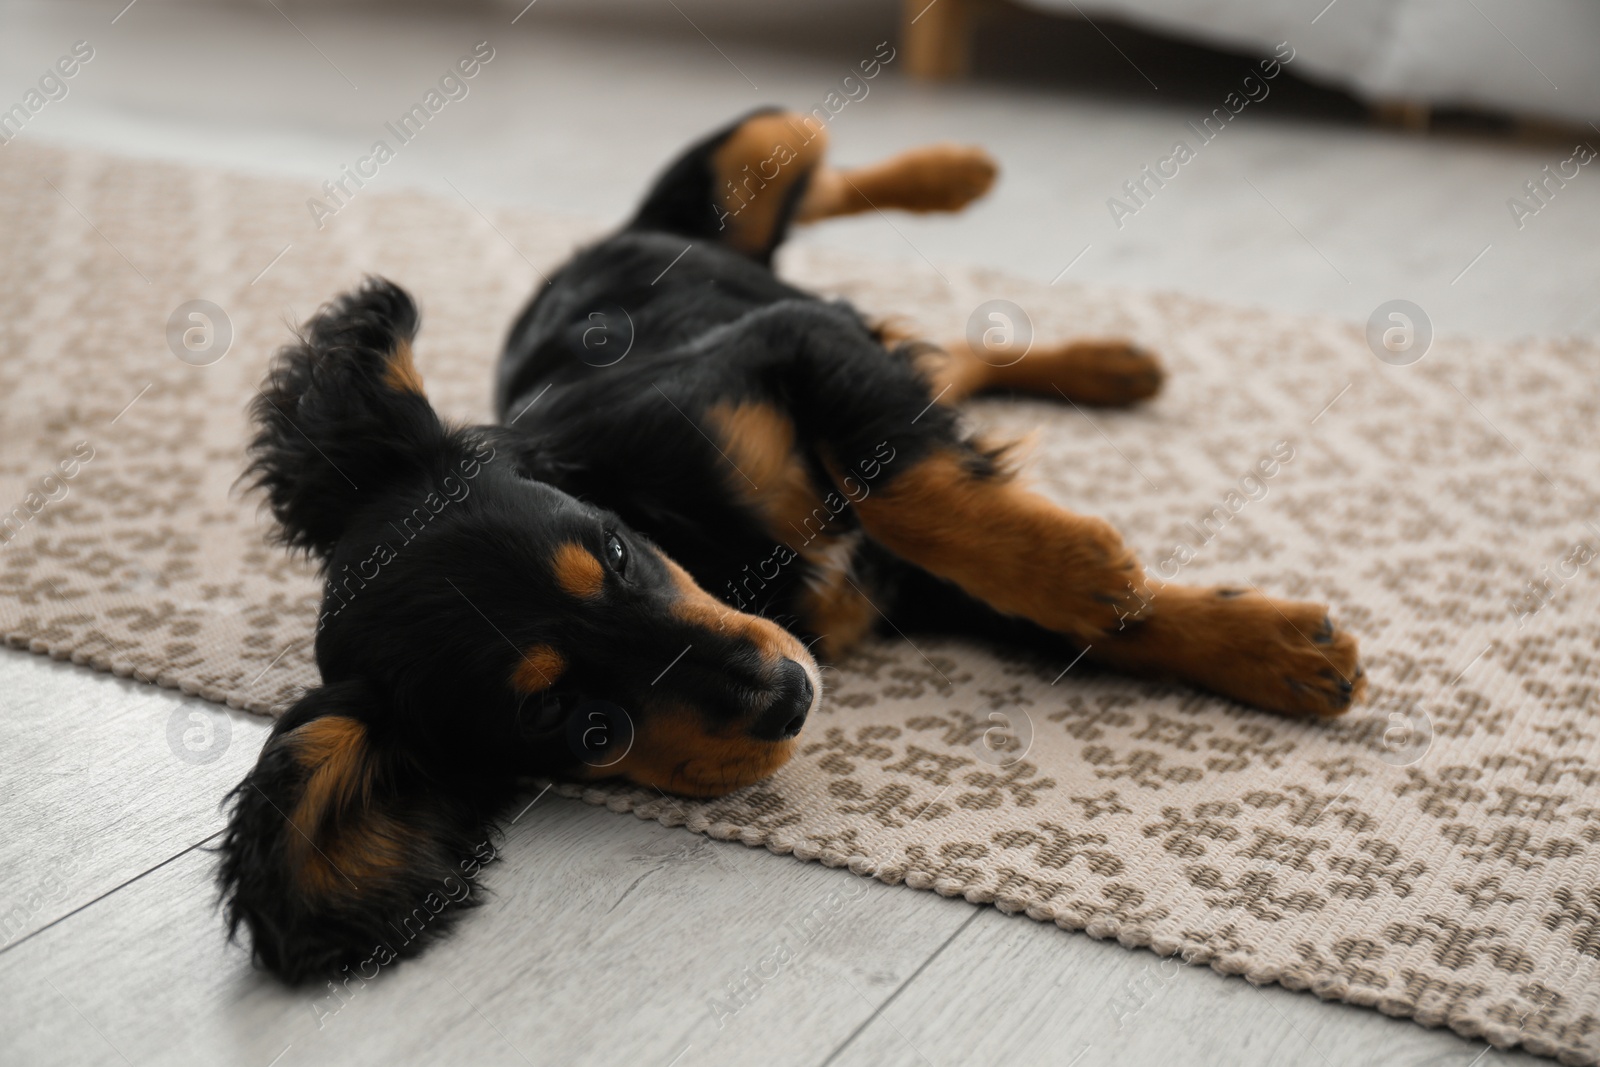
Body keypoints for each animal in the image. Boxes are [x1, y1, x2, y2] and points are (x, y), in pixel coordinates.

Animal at [216, 110, 1363, 985]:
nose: (788, 696)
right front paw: (1277, 650)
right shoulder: (899, 571)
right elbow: (1067, 600)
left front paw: (1105, 576)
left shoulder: (787, 348)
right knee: (939, 353)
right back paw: (1108, 364)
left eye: (615, 552)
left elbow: (913, 493)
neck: (708, 543)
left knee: (804, 163)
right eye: (559, 715)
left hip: (747, 188)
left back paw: (961, 174)